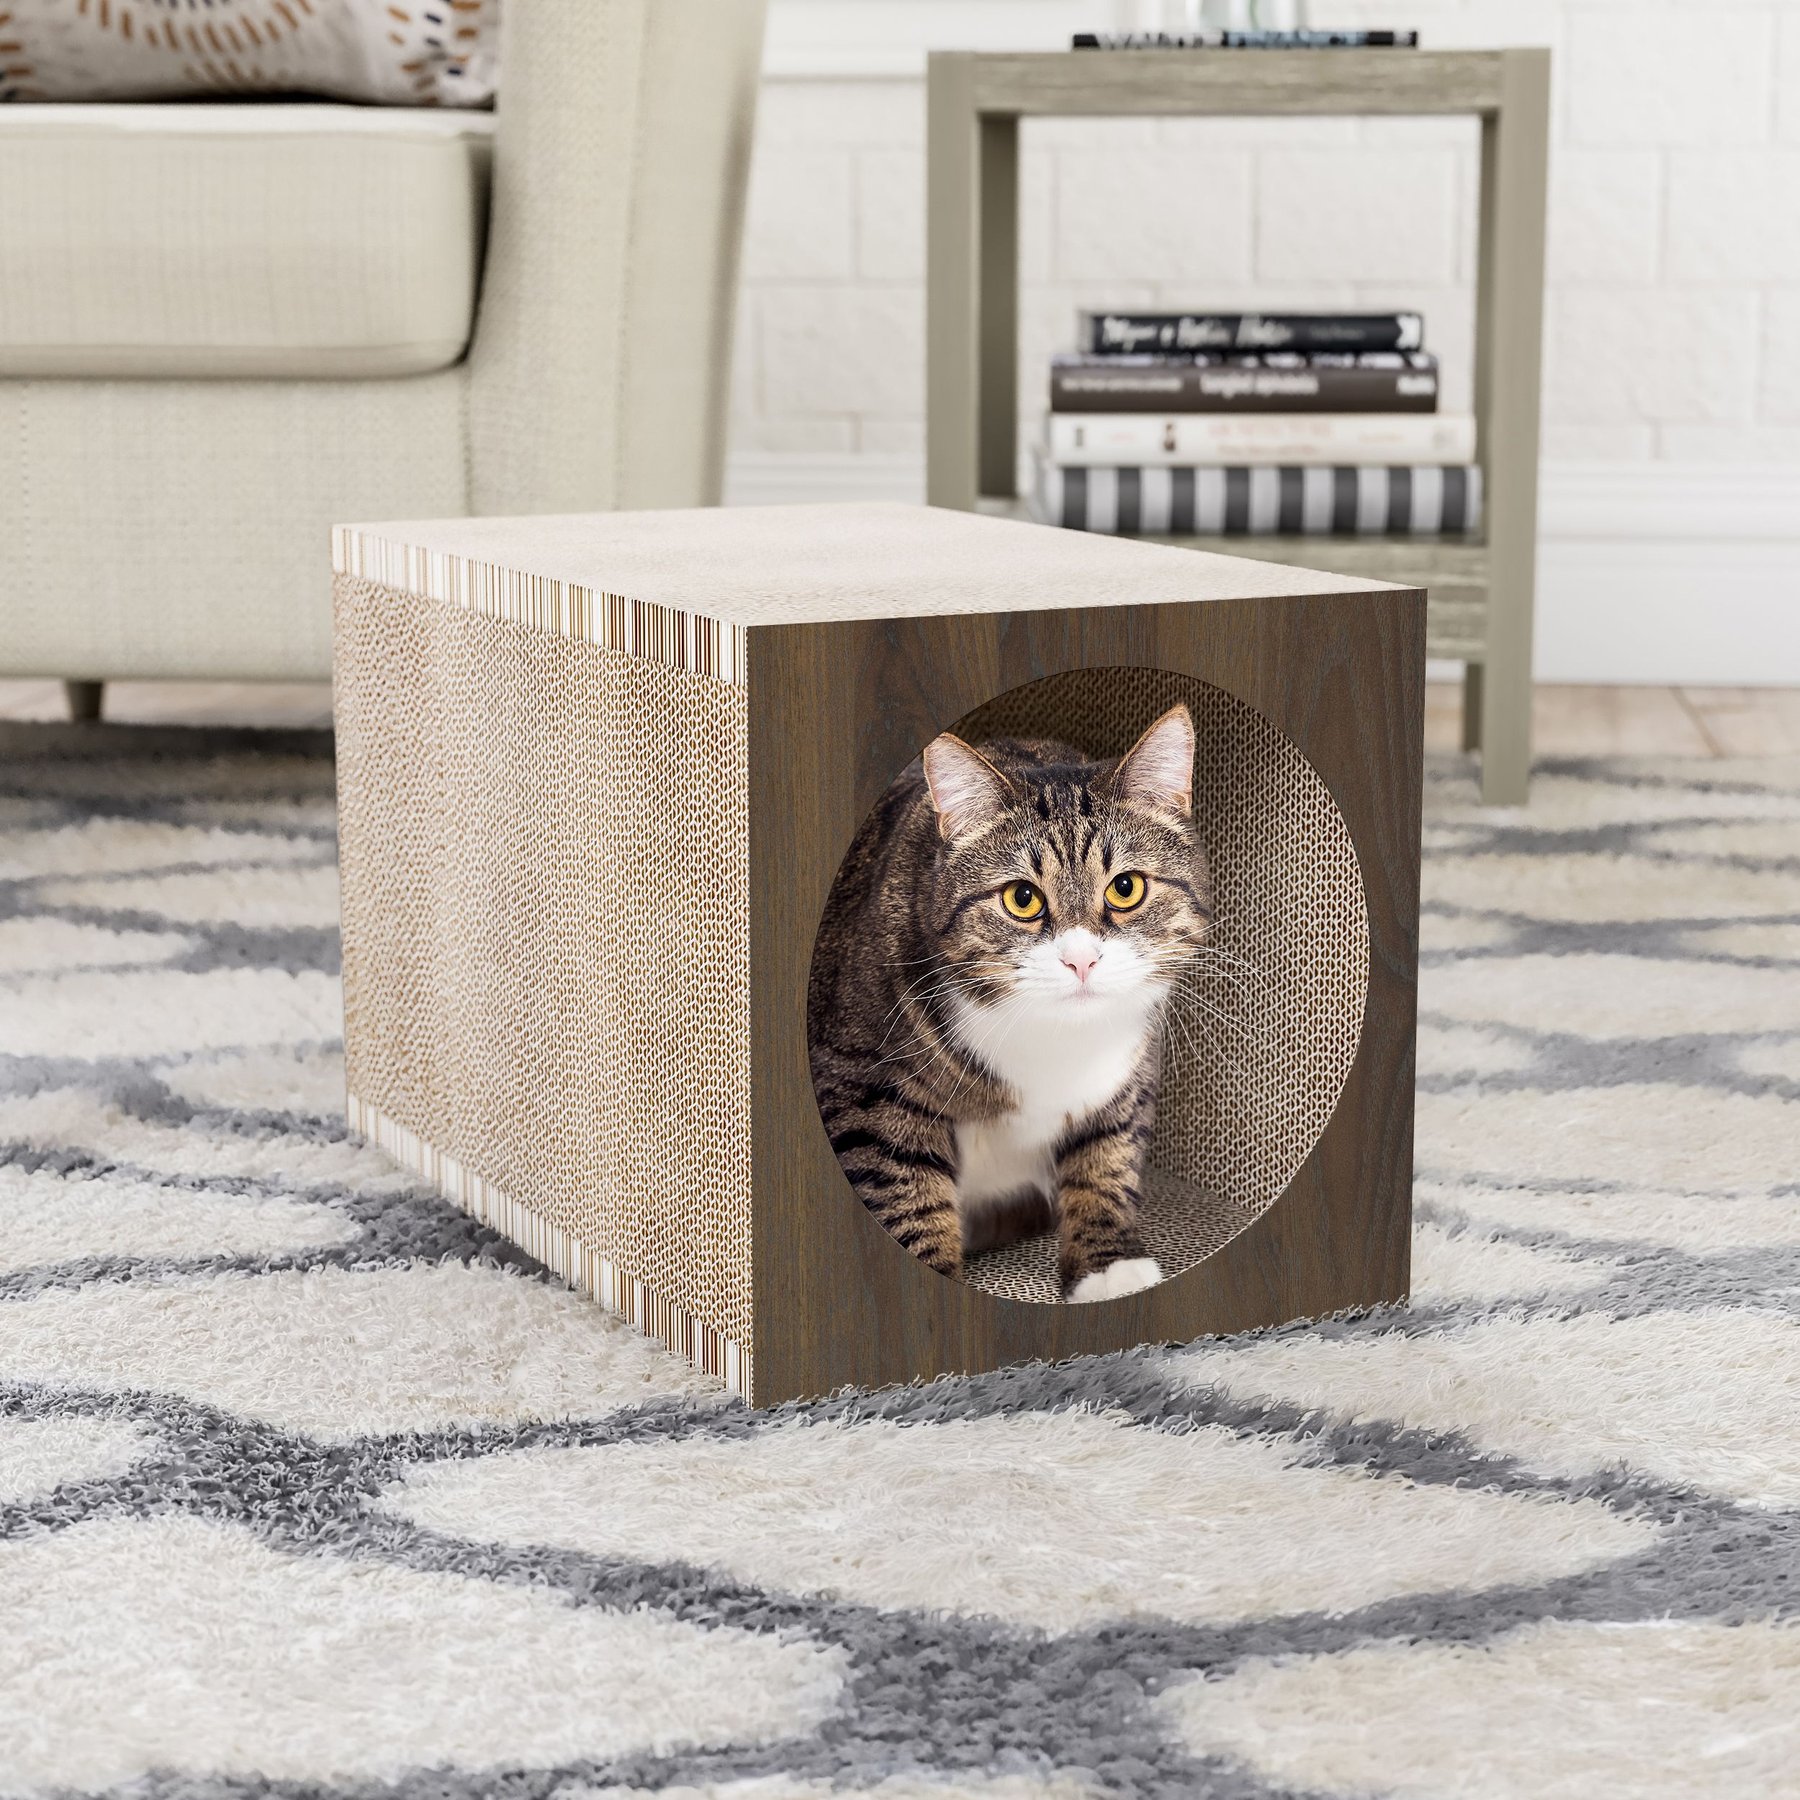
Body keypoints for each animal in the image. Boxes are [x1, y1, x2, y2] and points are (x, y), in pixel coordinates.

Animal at [806, 694, 1209, 1303]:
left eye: (1126, 888)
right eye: (1022, 898)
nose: (1081, 960)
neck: (1053, 1041)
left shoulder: (1128, 1067)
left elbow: (1108, 1154)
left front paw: (1108, 1269)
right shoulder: (861, 1082)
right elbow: (904, 1186)